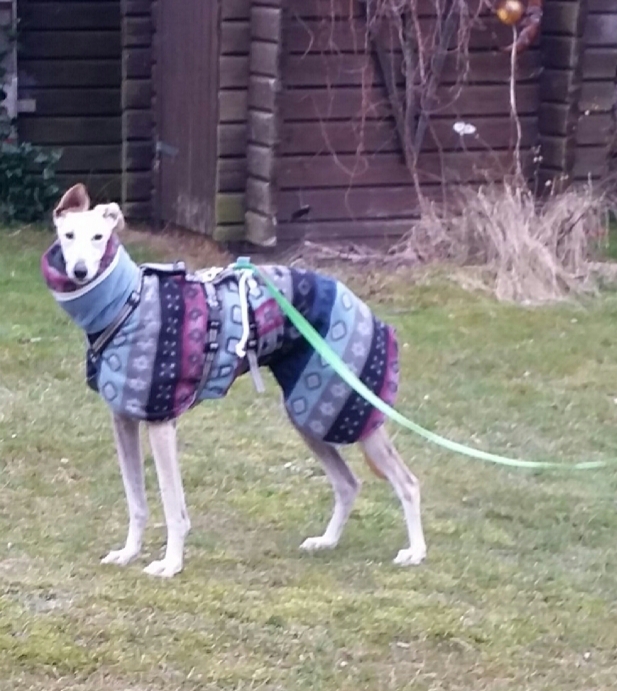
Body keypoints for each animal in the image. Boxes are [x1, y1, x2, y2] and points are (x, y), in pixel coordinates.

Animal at [41, 184, 426, 578]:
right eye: (68, 235)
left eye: (99, 237)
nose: (81, 271)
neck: (129, 302)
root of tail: (356, 299)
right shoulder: (124, 419)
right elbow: (137, 502)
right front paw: (128, 552)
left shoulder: (160, 422)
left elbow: (173, 507)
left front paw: (171, 563)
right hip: (310, 412)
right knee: (348, 484)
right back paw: (327, 541)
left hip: (346, 408)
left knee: (407, 482)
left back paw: (415, 551)